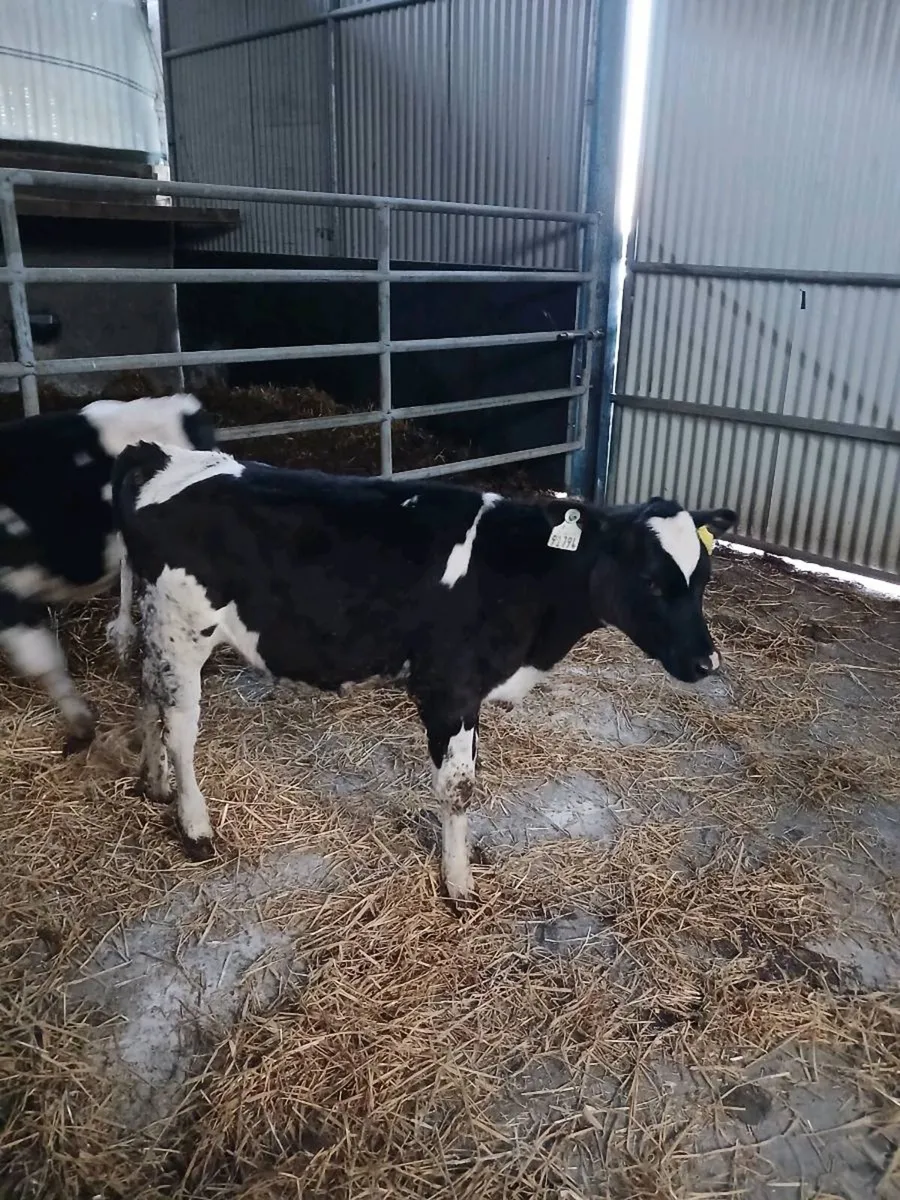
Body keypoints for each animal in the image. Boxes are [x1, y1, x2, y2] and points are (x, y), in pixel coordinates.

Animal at [110, 440, 735, 904]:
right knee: (181, 726)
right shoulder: (450, 687)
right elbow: (459, 789)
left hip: (156, 623)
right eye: (651, 581)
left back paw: (154, 782)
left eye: (703, 578)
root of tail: (161, 455)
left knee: (148, 691)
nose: (707, 662)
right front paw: (458, 883)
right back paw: (195, 826)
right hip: (184, 627)